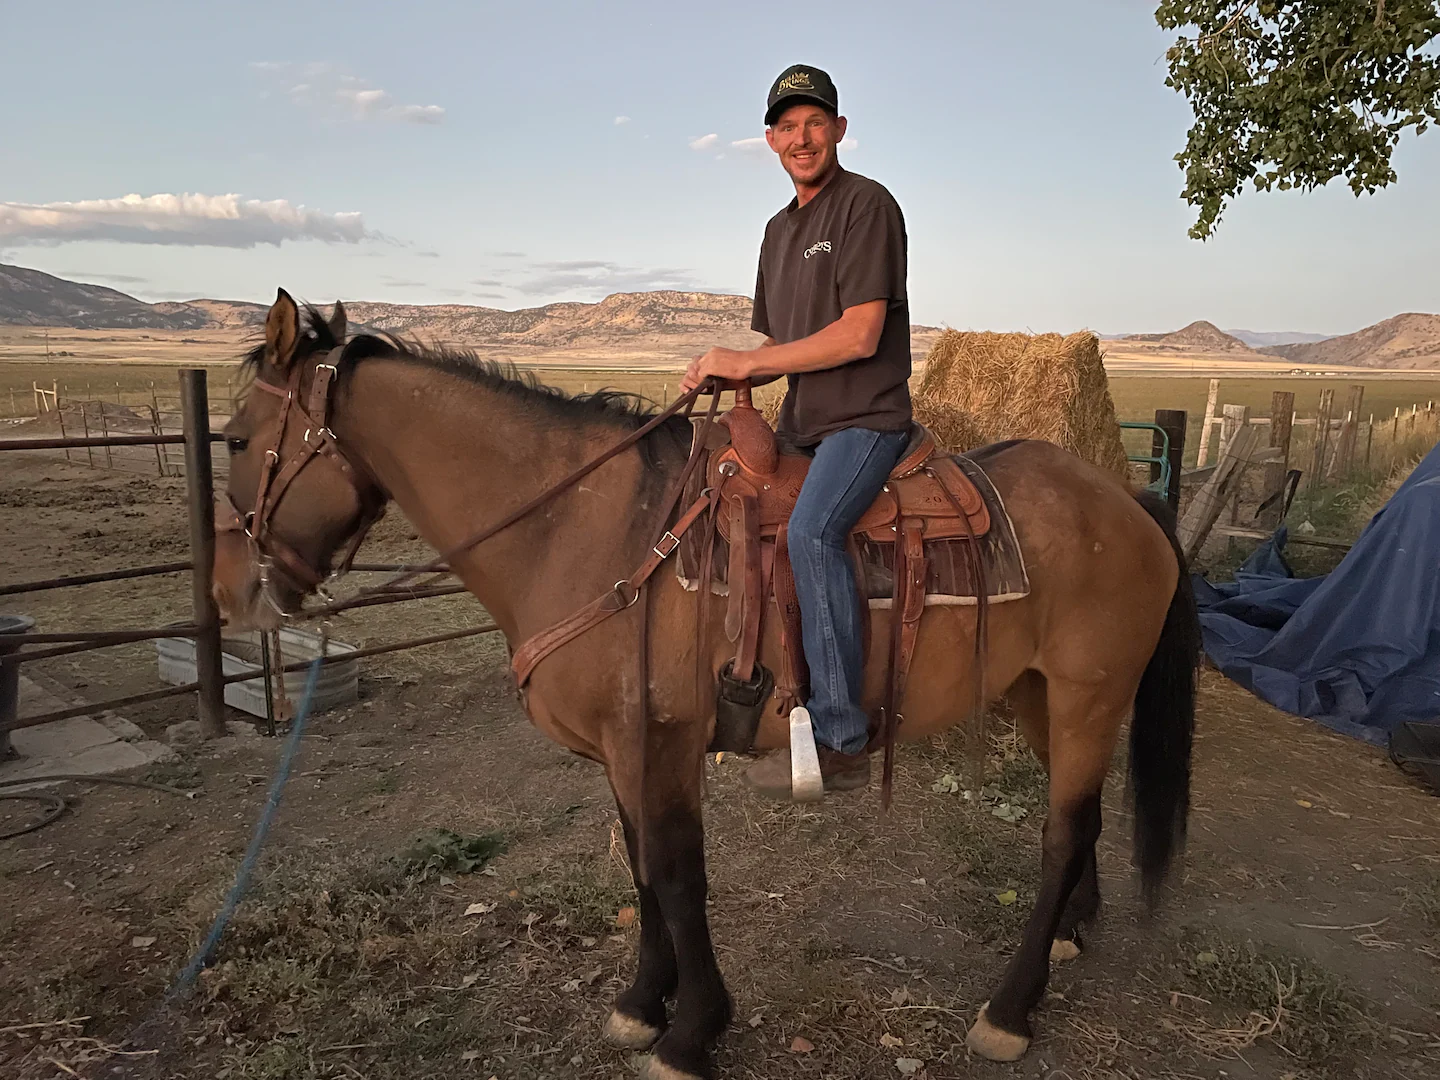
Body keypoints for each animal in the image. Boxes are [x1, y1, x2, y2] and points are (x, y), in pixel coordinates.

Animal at [213, 292, 1198, 1077]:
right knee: (1081, 821)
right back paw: (1070, 933)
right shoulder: (625, 753)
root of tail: (1126, 497)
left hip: (1087, 695)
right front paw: (642, 1005)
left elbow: (679, 875)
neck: (586, 528)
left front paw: (692, 1034)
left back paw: (1009, 1011)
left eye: (236, 438)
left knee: (1062, 835)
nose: (230, 592)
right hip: (1038, 694)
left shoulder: (663, 740)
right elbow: (644, 869)